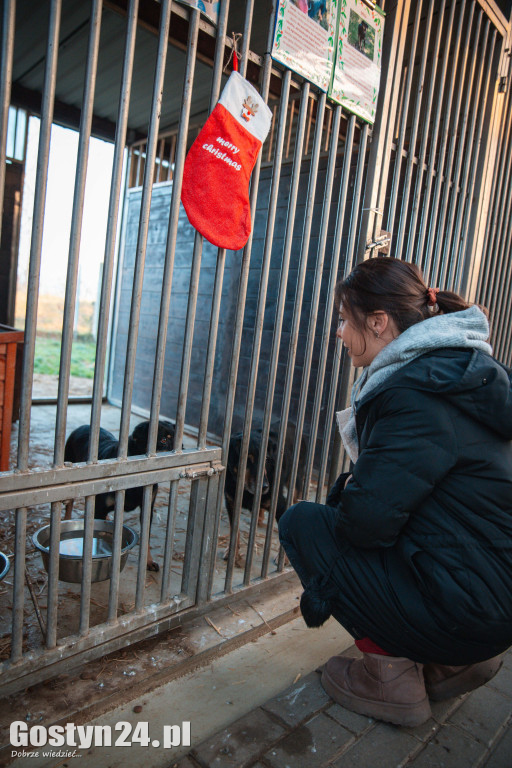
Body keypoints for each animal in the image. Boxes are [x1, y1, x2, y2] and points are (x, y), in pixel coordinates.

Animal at [63, 420, 176, 568]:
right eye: (163, 440)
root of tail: (83, 426)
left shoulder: (147, 508)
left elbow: (146, 538)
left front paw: (148, 561)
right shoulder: (100, 508)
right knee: (69, 504)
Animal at [223, 426, 304, 564]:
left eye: (266, 459)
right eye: (247, 460)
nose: (265, 487)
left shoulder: (280, 506)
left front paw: (284, 558)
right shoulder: (231, 503)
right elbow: (235, 530)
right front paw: (232, 552)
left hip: (295, 481)